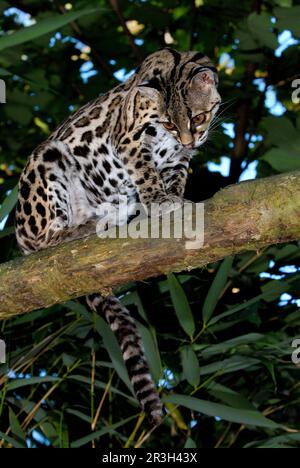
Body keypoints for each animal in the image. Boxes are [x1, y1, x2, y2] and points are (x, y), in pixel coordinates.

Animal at [15, 49, 220, 426]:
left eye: (198, 118)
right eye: (170, 124)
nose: (189, 141)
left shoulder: (179, 158)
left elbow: (176, 175)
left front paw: (174, 197)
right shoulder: (127, 138)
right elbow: (146, 172)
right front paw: (158, 201)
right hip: (46, 163)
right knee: (45, 241)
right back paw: (80, 229)